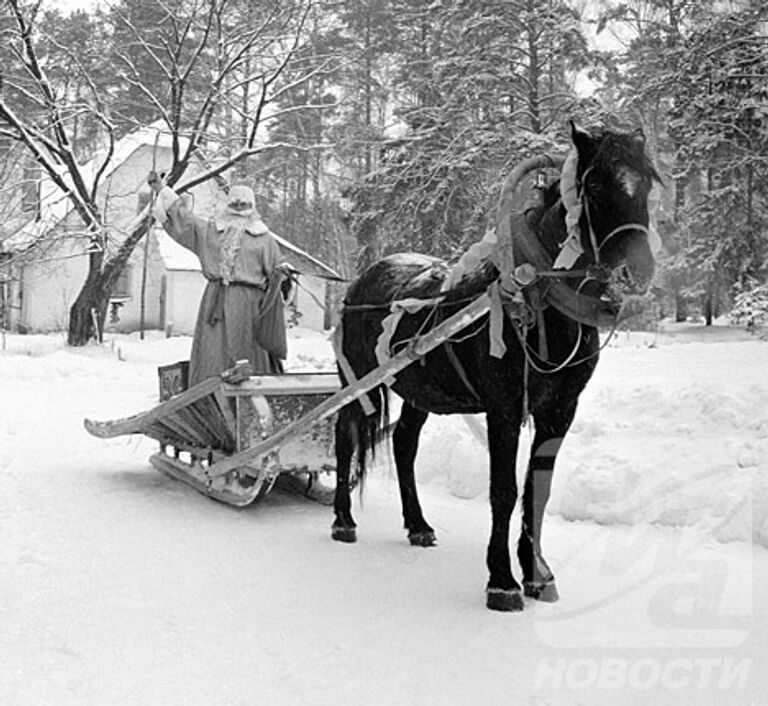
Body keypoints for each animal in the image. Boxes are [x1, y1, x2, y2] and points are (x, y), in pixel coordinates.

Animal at [330, 122, 660, 612]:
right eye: (597, 183)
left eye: (648, 183)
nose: (635, 272)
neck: (535, 295)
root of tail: (359, 284)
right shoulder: (504, 406)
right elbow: (503, 490)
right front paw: (502, 581)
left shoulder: (559, 409)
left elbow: (537, 490)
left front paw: (538, 575)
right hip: (361, 384)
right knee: (345, 436)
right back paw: (343, 520)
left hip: (420, 390)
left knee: (404, 445)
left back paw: (418, 524)